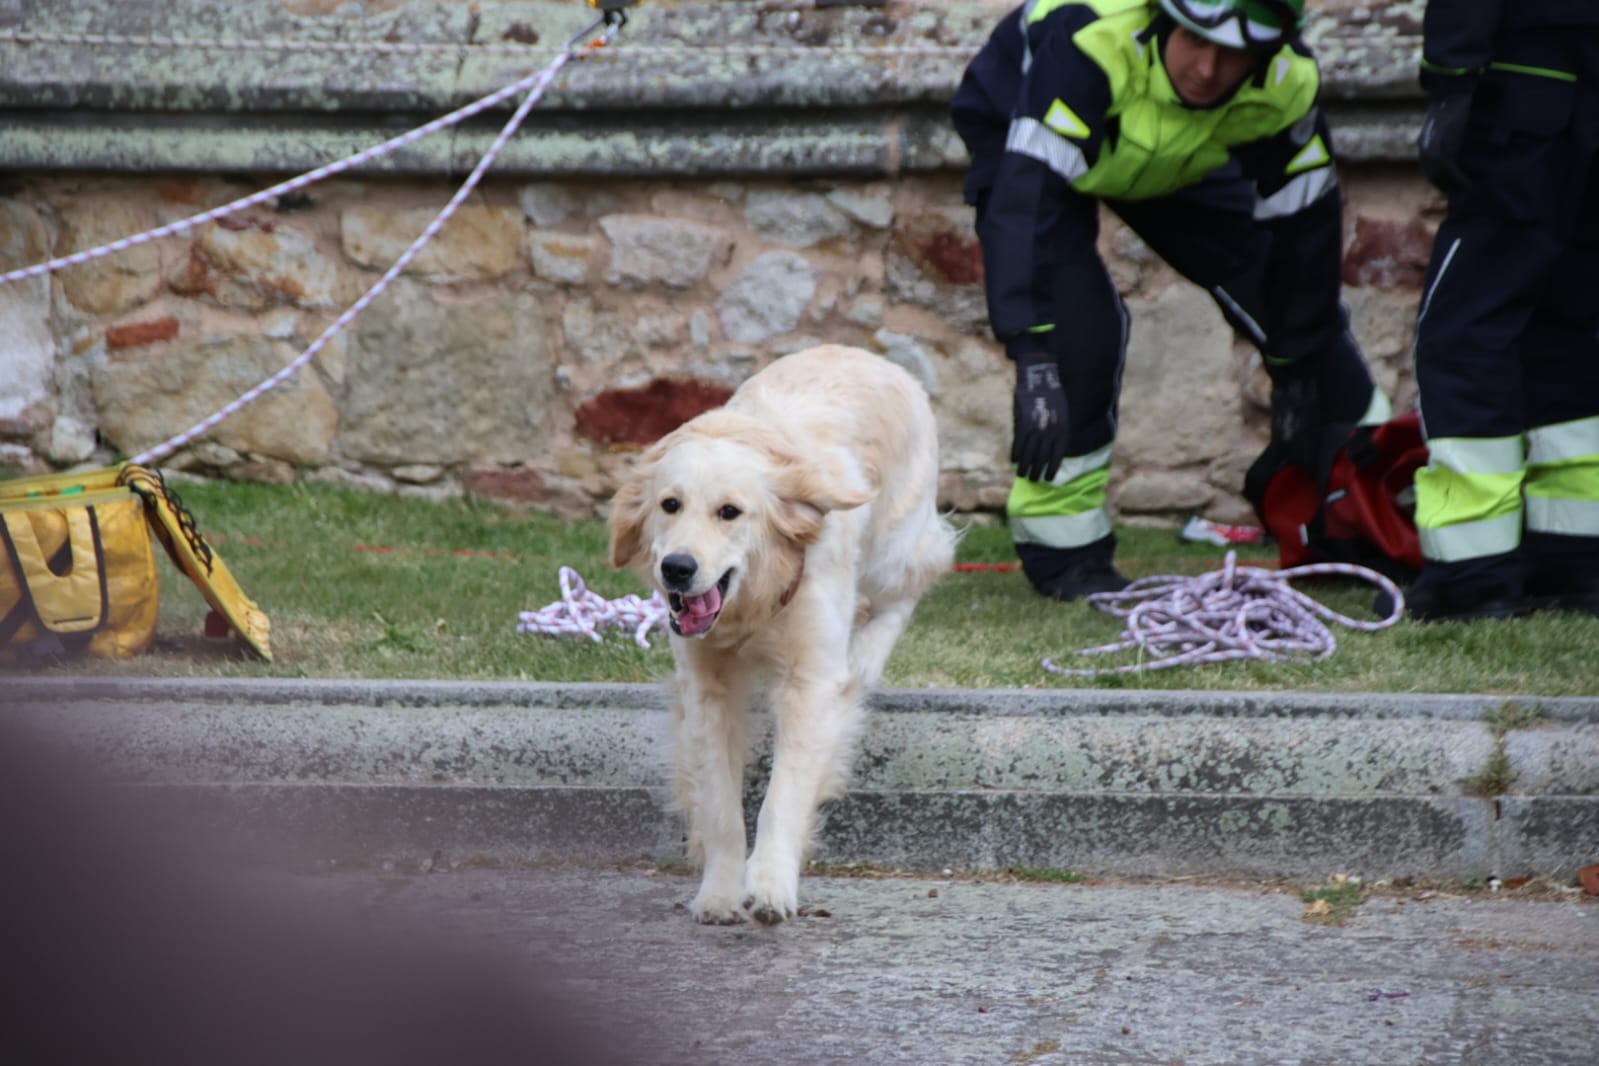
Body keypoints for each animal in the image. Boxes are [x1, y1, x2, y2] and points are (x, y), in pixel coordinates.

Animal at [604, 343, 953, 926]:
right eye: (669, 504)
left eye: (730, 512)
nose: (676, 568)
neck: (753, 605)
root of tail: (863, 352)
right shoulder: (707, 687)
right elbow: (721, 804)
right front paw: (720, 892)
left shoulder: (809, 680)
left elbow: (783, 795)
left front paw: (770, 885)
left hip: (896, 546)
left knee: (909, 586)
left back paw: (866, 656)